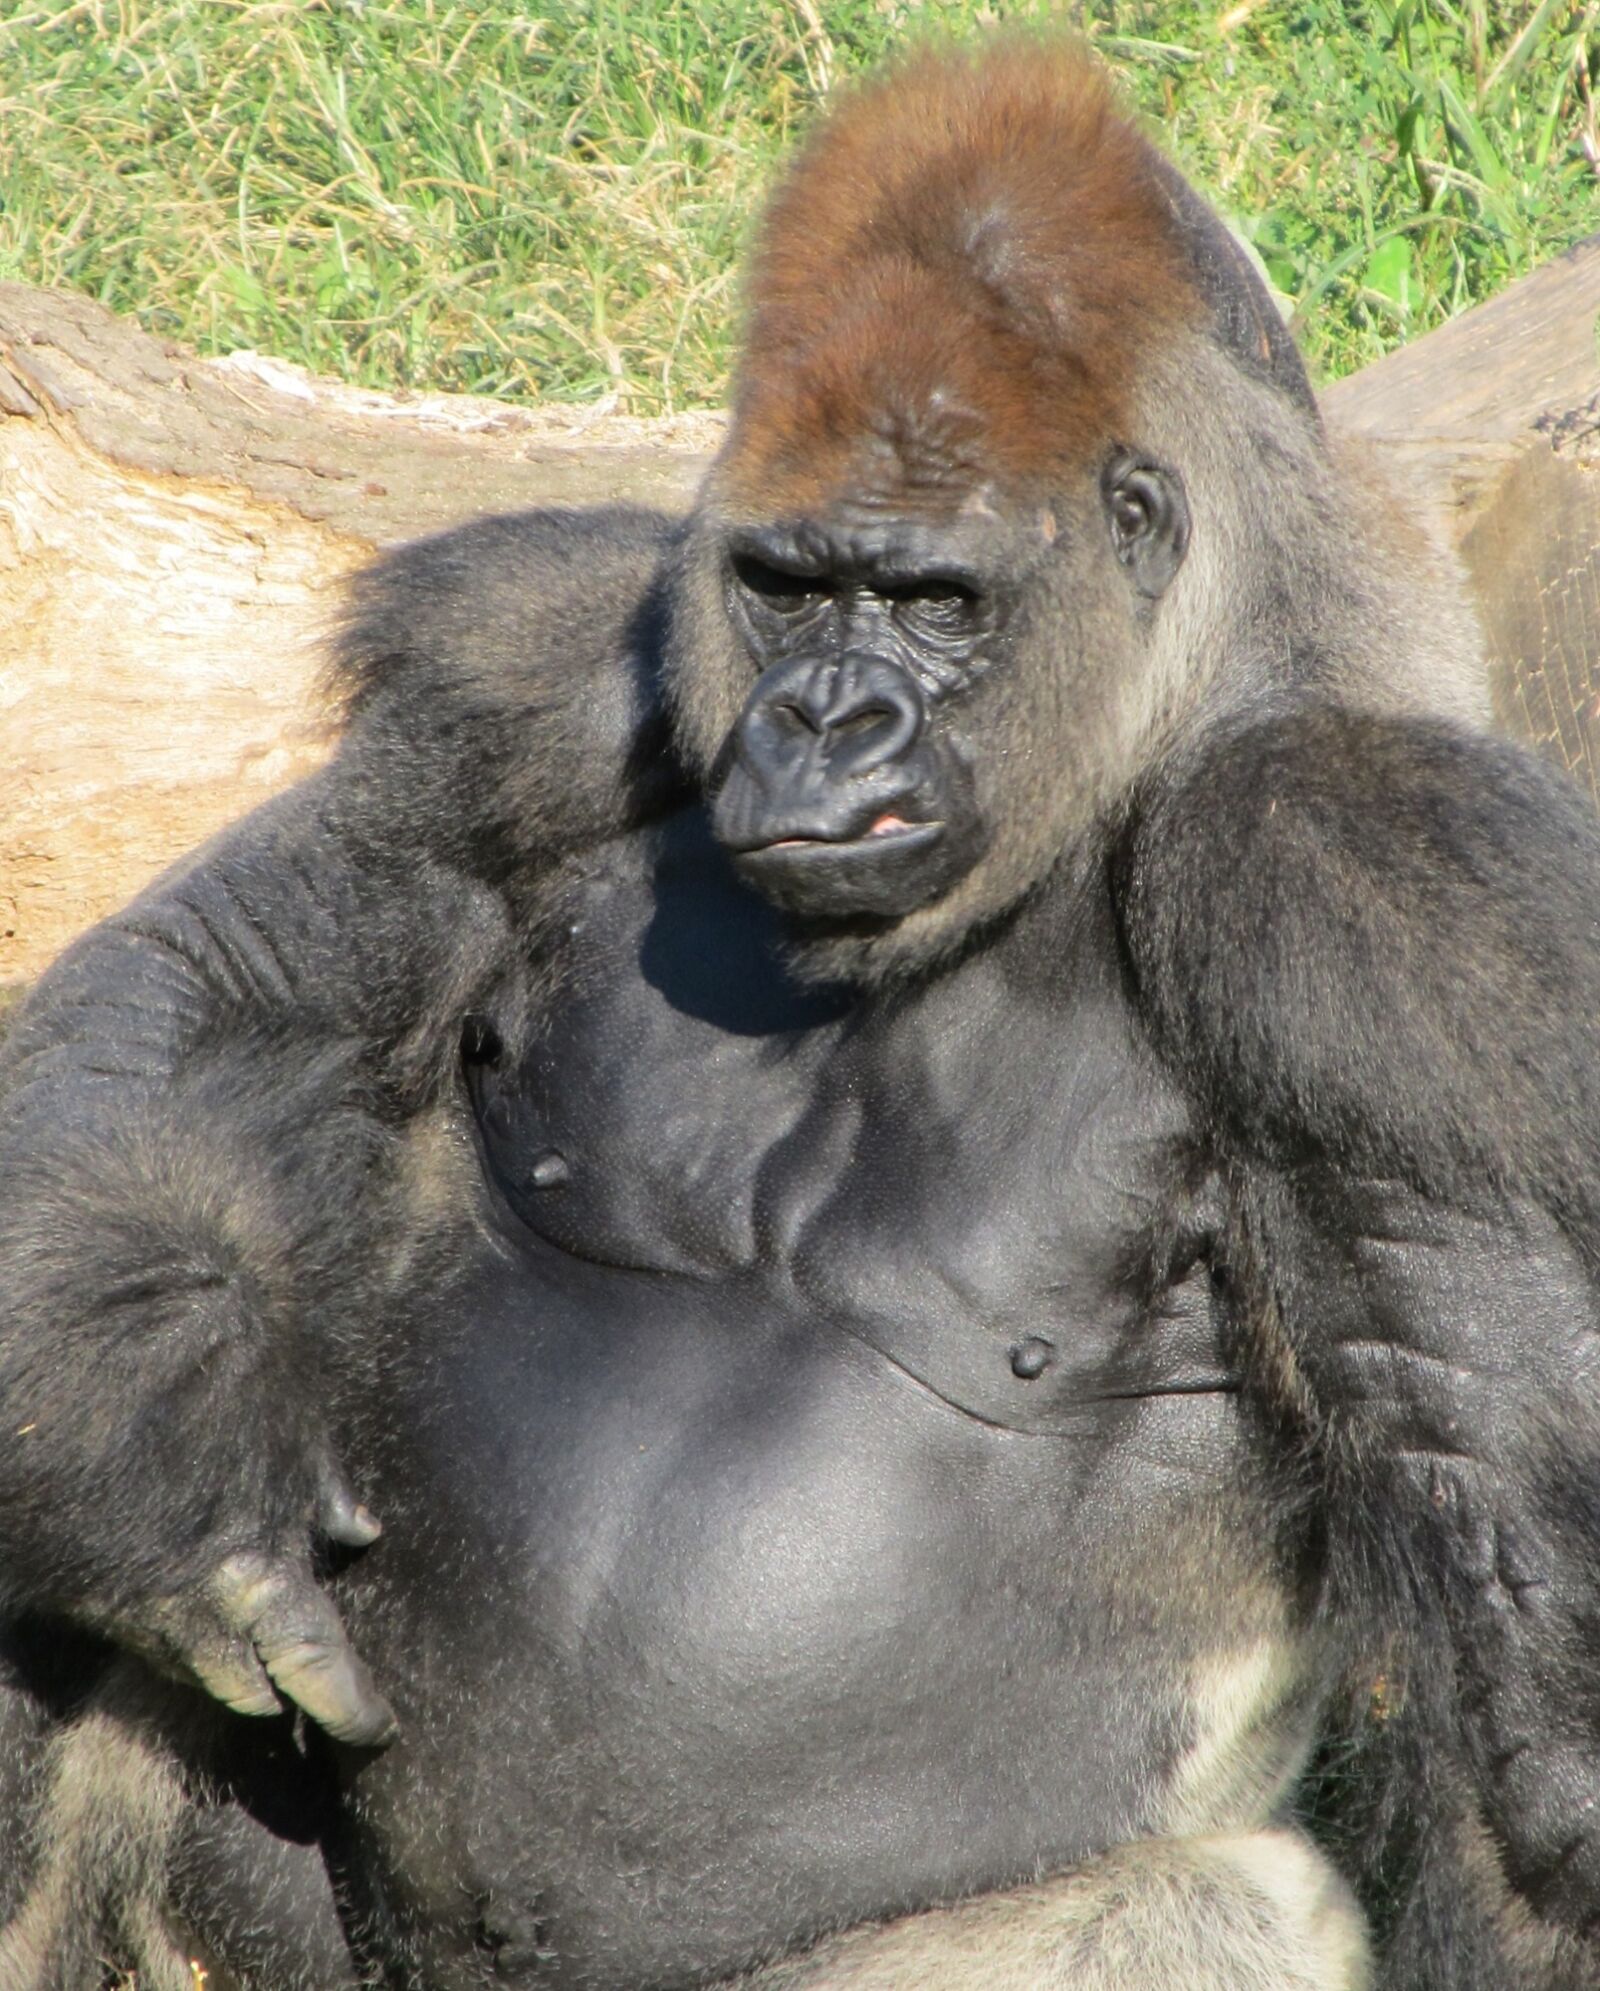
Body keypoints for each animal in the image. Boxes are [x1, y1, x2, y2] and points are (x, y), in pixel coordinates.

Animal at [6, 32, 1600, 1990]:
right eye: (788, 585)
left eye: (931, 602)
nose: (824, 720)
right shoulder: (549, 665)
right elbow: (198, 1007)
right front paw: (171, 1483)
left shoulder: (1375, 896)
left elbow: (1531, 1662)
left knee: (1219, 1904)